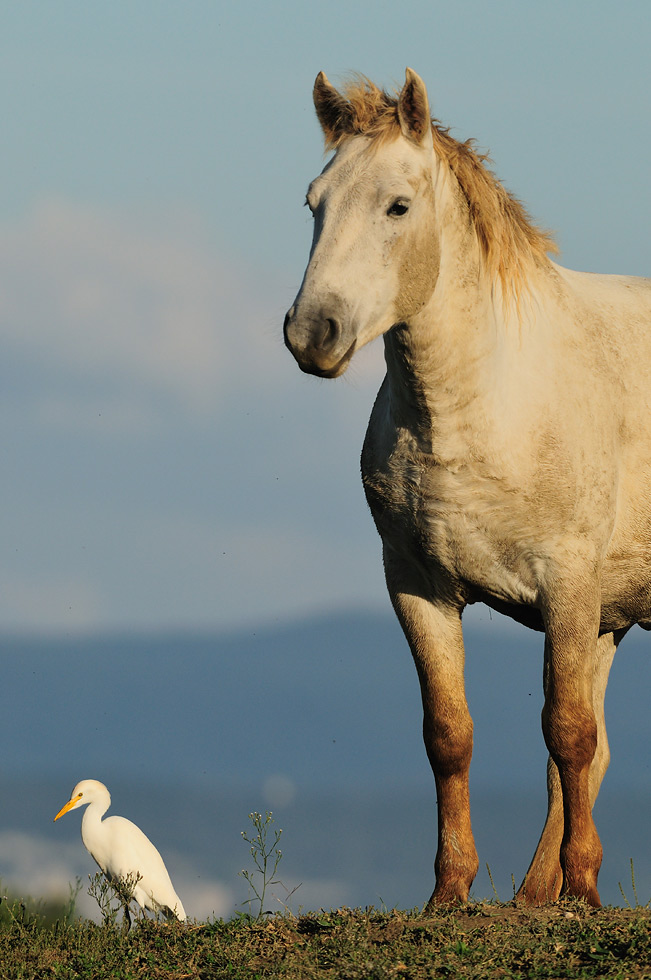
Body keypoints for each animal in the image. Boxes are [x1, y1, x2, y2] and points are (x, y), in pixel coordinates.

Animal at [284, 71, 651, 912]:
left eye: (397, 206)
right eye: (314, 203)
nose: (312, 334)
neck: (490, 399)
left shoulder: (567, 584)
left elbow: (567, 731)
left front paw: (585, 891)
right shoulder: (418, 588)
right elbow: (451, 734)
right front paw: (451, 889)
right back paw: (531, 893)